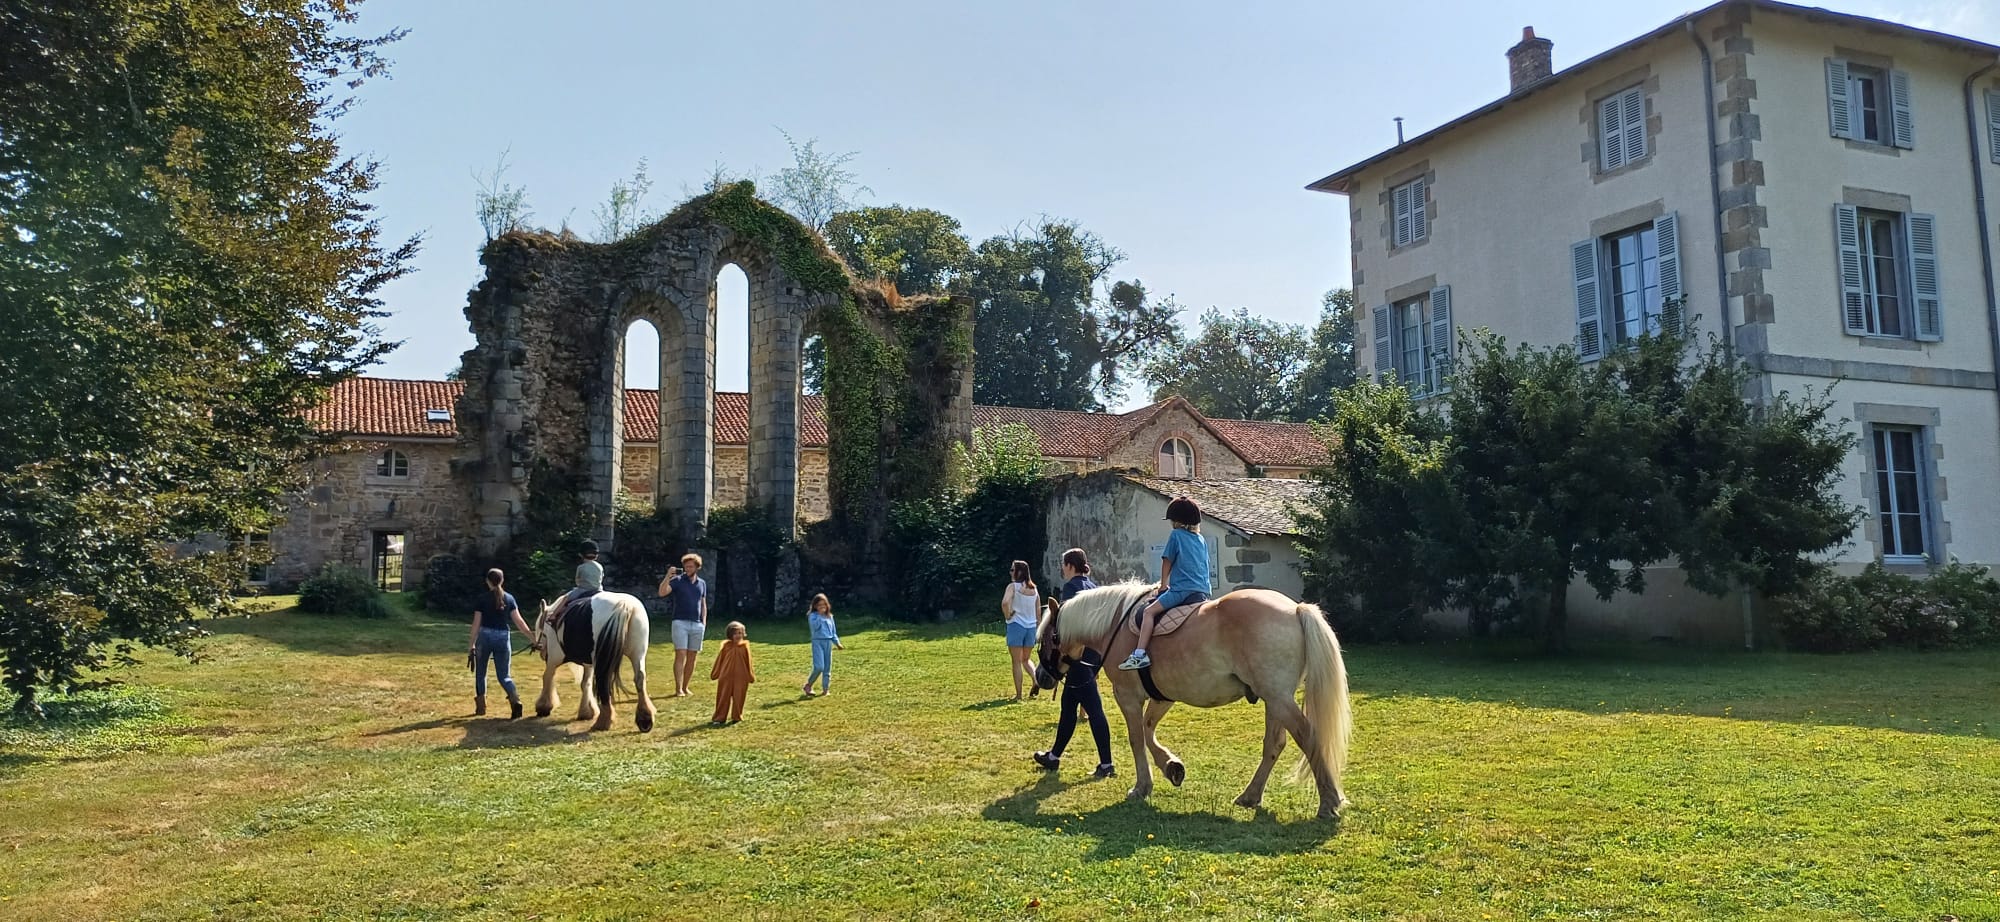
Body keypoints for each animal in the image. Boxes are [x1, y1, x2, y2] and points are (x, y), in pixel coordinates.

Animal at [532, 588, 656, 732]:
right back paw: (645, 718)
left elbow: (547, 677)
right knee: (639, 679)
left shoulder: (553, 659)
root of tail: (624, 605)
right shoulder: (589, 664)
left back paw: (603, 722)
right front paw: (587, 711)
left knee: (604, 682)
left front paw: (544, 707)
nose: (540, 651)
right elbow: (585, 683)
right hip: (637, 654)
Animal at [1040, 580, 1352, 816]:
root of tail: (1295, 609)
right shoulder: (1163, 697)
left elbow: (1136, 738)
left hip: (1278, 699)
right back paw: (1250, 796)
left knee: (1308, 736)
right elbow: (1148, 731)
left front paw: (1142, 786)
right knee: (1274, 745)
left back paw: (1329, 802)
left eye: (1046, 637)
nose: (1043, 678)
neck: (1116, 624)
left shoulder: (1127, 696)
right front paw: (1171, 767)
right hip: (1275, 701)